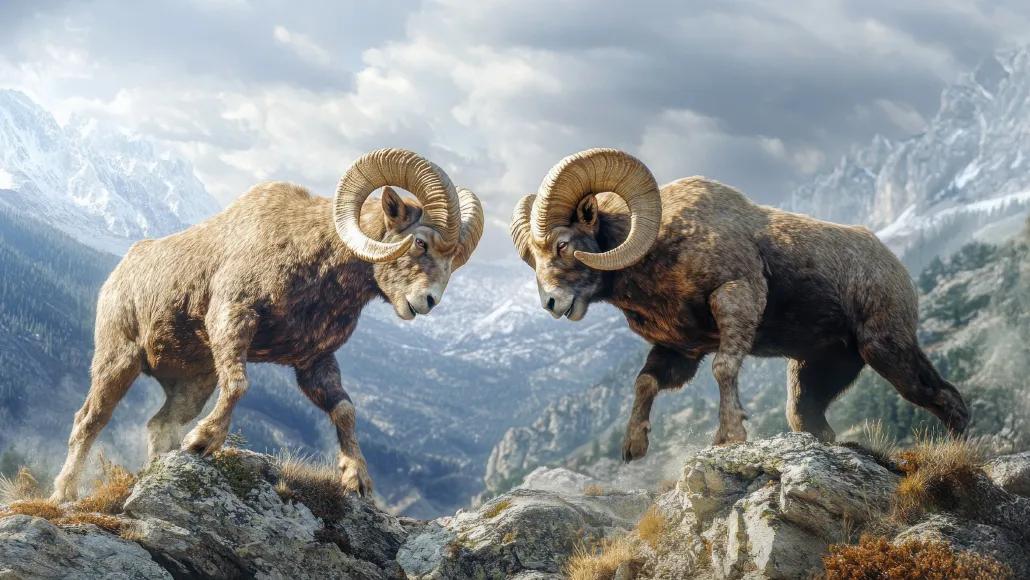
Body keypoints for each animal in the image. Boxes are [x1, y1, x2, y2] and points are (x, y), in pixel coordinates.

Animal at [51, 148, 484, 501]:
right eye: (421, 243)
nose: (427, 302)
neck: (313, 258)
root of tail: (120, 271)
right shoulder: (233, 318)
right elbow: (240, 385)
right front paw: (203, 442)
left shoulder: (314, 362)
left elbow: (344, 410)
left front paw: (356, 480)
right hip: (118, 361)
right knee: (89, 421)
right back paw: (64, 493)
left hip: (192, 384)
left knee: (161, 424)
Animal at [510, 148, 969, 460]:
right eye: (532, 258)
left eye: (562, 244)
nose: (552, 303)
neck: (662, 246)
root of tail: (895, 266)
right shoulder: (679, 350)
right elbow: (645, 382)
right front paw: (633, 447)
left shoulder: (735, 297)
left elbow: (724, 369)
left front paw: (729, 437)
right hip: (817, 372)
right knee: (812, 421)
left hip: (886, 351)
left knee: (949, 401)